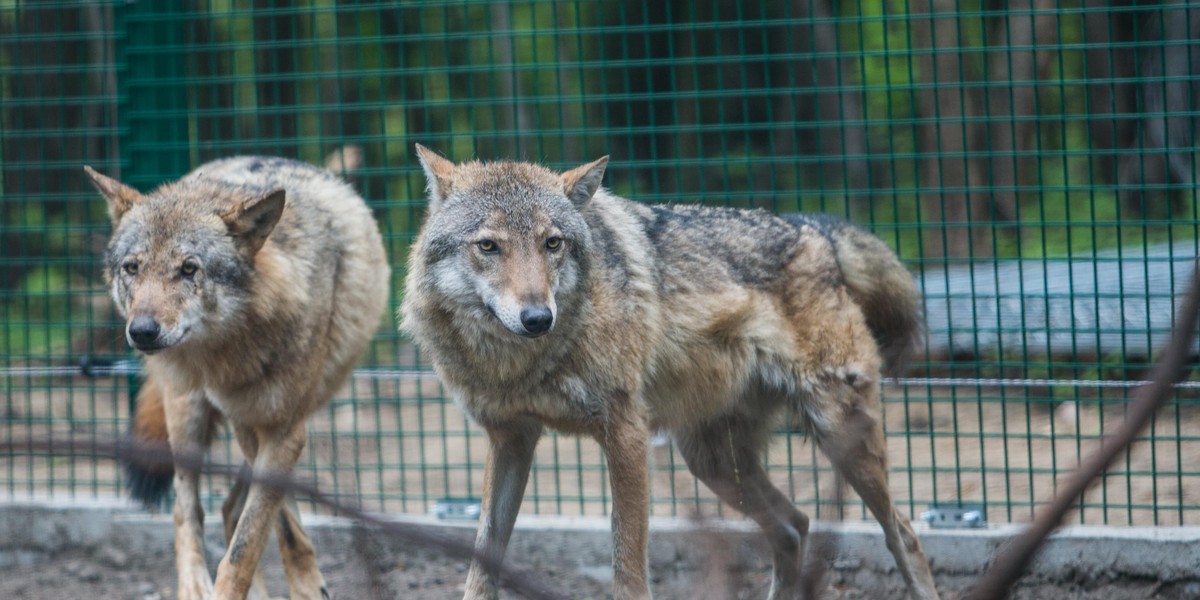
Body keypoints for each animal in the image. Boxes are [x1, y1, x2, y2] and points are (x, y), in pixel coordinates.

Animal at [87, 154, 391, 600]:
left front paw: (302, 587)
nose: (141, 331)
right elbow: (269, 528)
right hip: (187, 419)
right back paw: (193, 586)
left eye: (188, 269)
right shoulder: (257, 430)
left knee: (229, 509)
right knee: (187, 508)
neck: (237, 346)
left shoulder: (282, 431)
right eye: (132, 268)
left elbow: (248, 543)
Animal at [405, 145, 945, 600]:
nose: (538, 318)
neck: (520, 364)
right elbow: (483, 557)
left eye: (552, 243)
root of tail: (816, 230)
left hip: (838, 438)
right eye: (488, 246)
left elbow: (628, 564)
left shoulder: (626, 433)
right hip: (711, 462)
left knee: (903, 534)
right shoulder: (511, 439)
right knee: (796, 525)